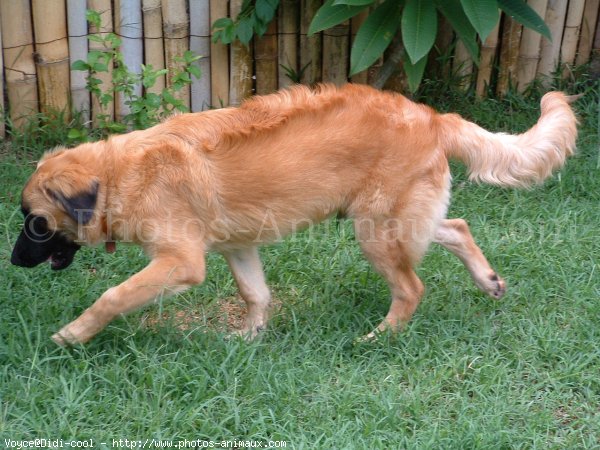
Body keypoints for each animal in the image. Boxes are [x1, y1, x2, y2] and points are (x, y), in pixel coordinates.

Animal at [9, 84, 580, 344]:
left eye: (33, 221)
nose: (13, 263)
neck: (119, 173)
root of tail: (433, 116)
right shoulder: (238, 247)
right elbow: (255, 294)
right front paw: (249, 340)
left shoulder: (180, 261)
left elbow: (112, 296)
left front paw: (72, 334)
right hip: (400, 220)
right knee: (457, 227)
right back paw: (489, 281)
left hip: (376, 230)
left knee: (411, 287)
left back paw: (380, 337)